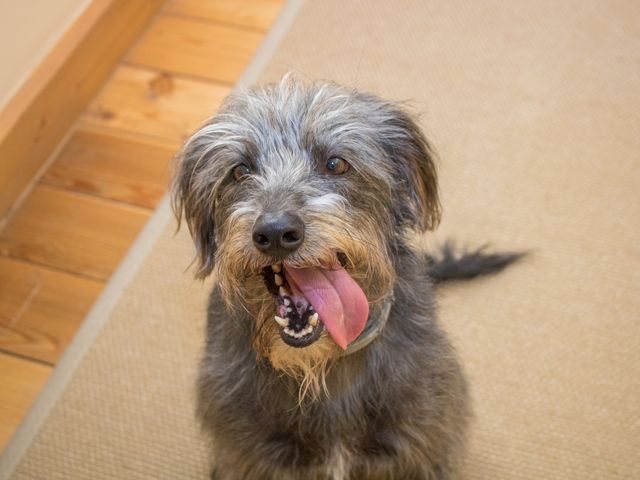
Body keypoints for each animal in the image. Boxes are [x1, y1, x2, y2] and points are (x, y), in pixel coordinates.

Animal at [171, 77, 520, 478]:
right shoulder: (246, 457)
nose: (275, 233)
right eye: (240, 171)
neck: (322, 366)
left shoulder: (422, 450)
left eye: (336, 164)